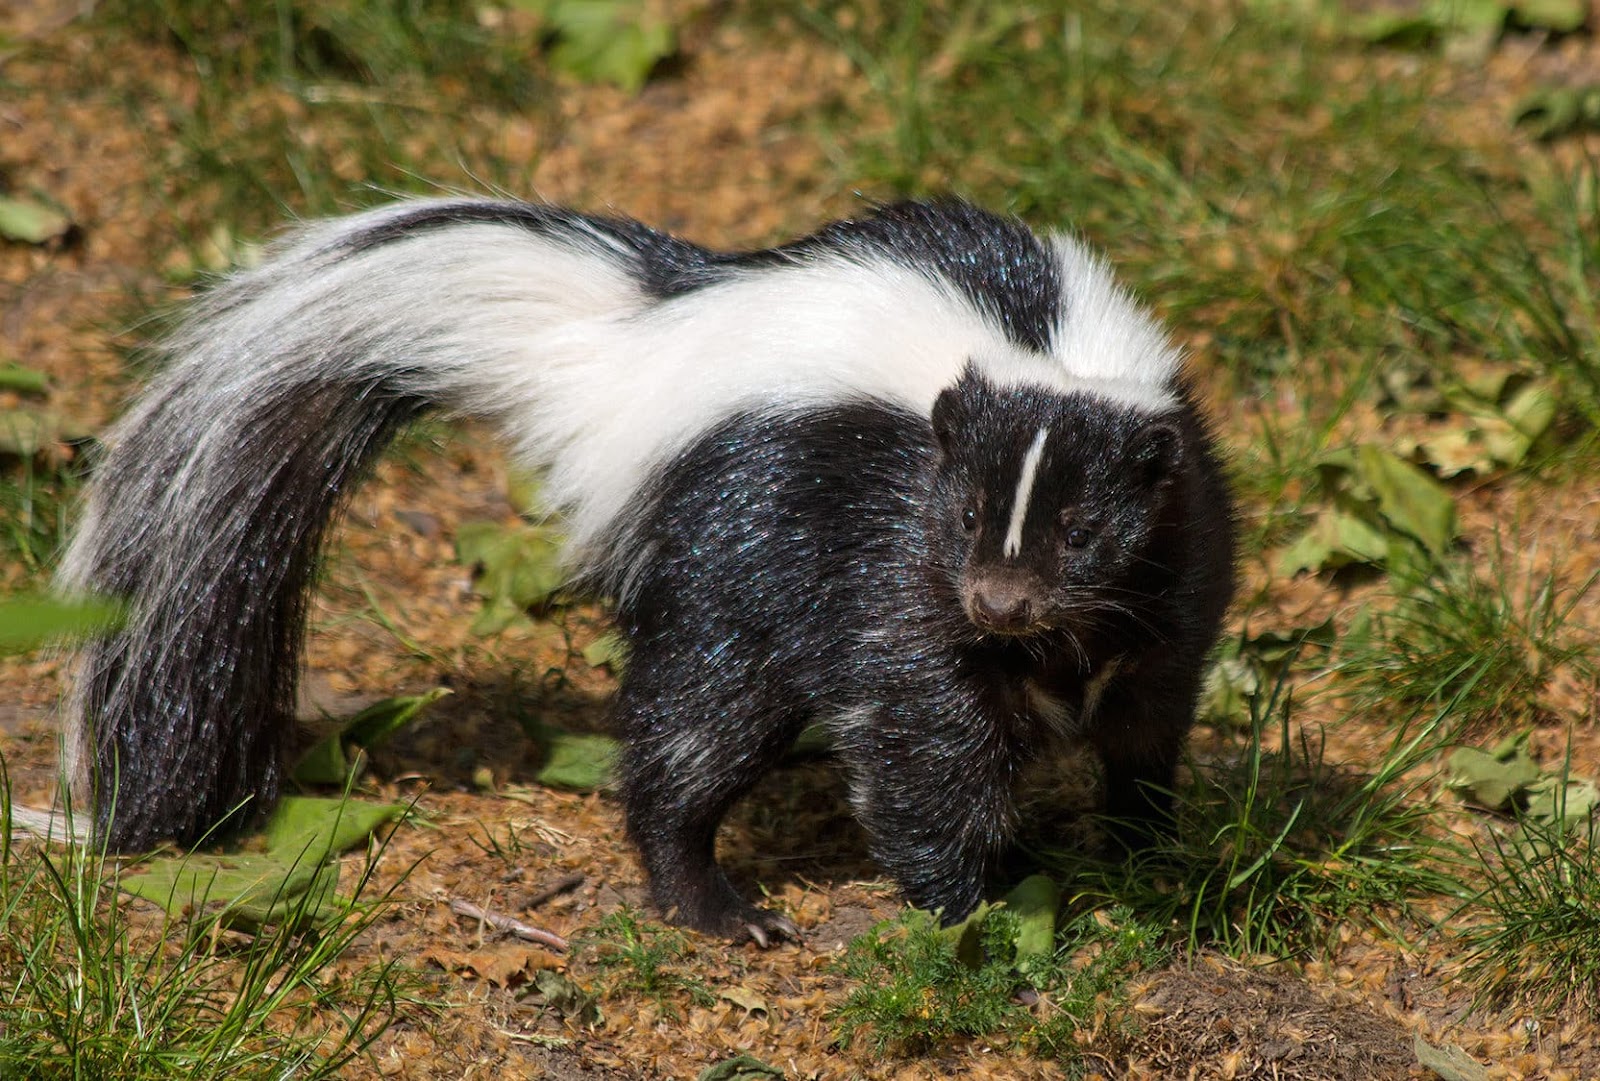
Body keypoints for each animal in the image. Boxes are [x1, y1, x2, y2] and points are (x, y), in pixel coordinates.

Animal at [59, 198, 1235, 940]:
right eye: (966, 511)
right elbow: (921, 742)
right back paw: (713, 904)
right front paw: (971, 911)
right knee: (692, 732)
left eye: (1081, 528)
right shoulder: (887, 555)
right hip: (731, 550)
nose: (999, 601)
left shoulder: (1174, 576)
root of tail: (622, 354)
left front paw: (1144, 849)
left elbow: (1147, 720)